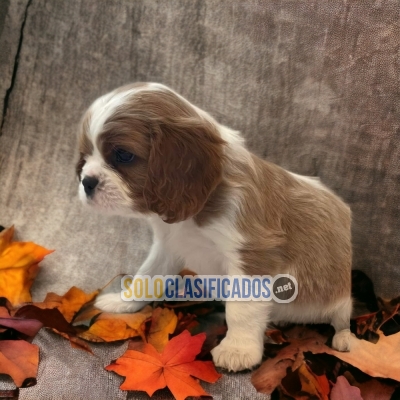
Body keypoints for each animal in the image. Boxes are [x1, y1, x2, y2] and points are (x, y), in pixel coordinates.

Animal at [76, 82, 352, 372]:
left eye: (123, 155)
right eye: (84, 157)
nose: (87, 182)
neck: (194, 212)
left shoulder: (253, 254)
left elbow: (240, 309)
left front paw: (238, 350)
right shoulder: (168, 247)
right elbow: (147, 276)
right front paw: (123, 301)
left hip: (340, 296)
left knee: (341, 319)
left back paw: (344, 338)